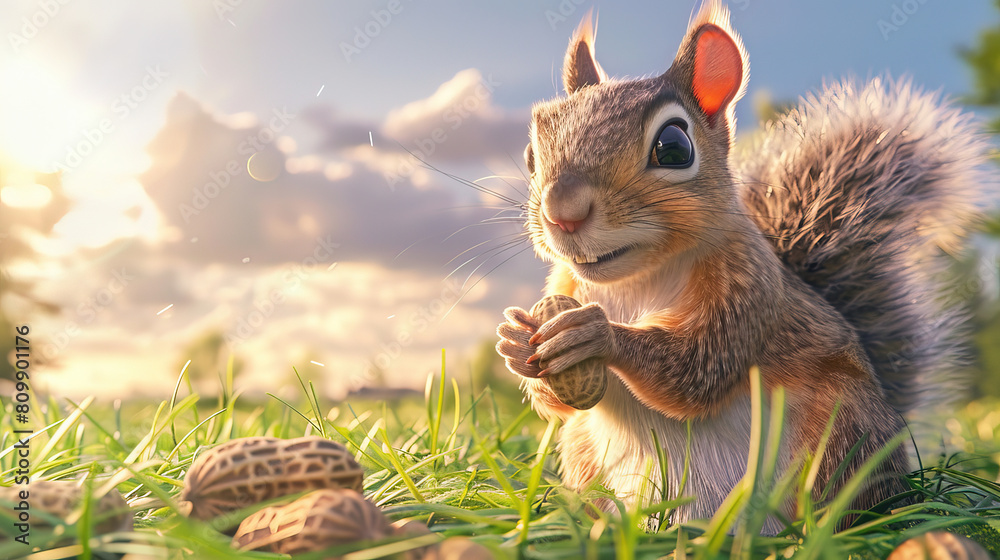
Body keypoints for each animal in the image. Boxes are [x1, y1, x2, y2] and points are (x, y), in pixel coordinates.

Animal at [495, 0, 993, 533]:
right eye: (530, 154)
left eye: (674, 147)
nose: (562, 212)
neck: (634, 279)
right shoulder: (567, 284)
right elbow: (556, 406)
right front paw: (514, 343)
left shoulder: (750, 286)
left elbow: (699, 368)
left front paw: (597, 334)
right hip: (584, 455)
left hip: (840, 433)